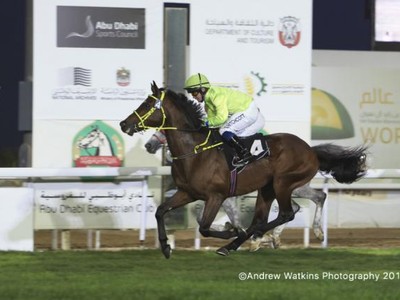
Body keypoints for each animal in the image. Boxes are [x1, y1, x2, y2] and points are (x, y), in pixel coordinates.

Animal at [119, 82, 368, 258]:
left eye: (147, 105)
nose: (124, 124)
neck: (195, 152)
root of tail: (310, 150)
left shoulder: (217, 196)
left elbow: (205, 227)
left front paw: (231, 231)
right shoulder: (187, 192)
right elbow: (161, 211)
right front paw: (165, 247)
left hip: (283, 183)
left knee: (286, 212)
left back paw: (241, 241)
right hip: (269, 188)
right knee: (290, 208)